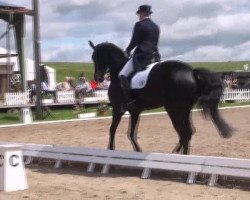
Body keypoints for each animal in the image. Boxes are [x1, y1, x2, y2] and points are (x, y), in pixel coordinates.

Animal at [88, 41, 232, 155]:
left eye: (96, 57)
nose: (98, 78)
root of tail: (191, 72)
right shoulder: (135, 111)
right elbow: (131, 133)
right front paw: (137, 150)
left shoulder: (118, 108)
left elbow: (112, 129)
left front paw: (111, 149)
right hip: (184, 110)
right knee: (188, 132)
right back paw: (177, 152)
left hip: (173, 109)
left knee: (184, 133)